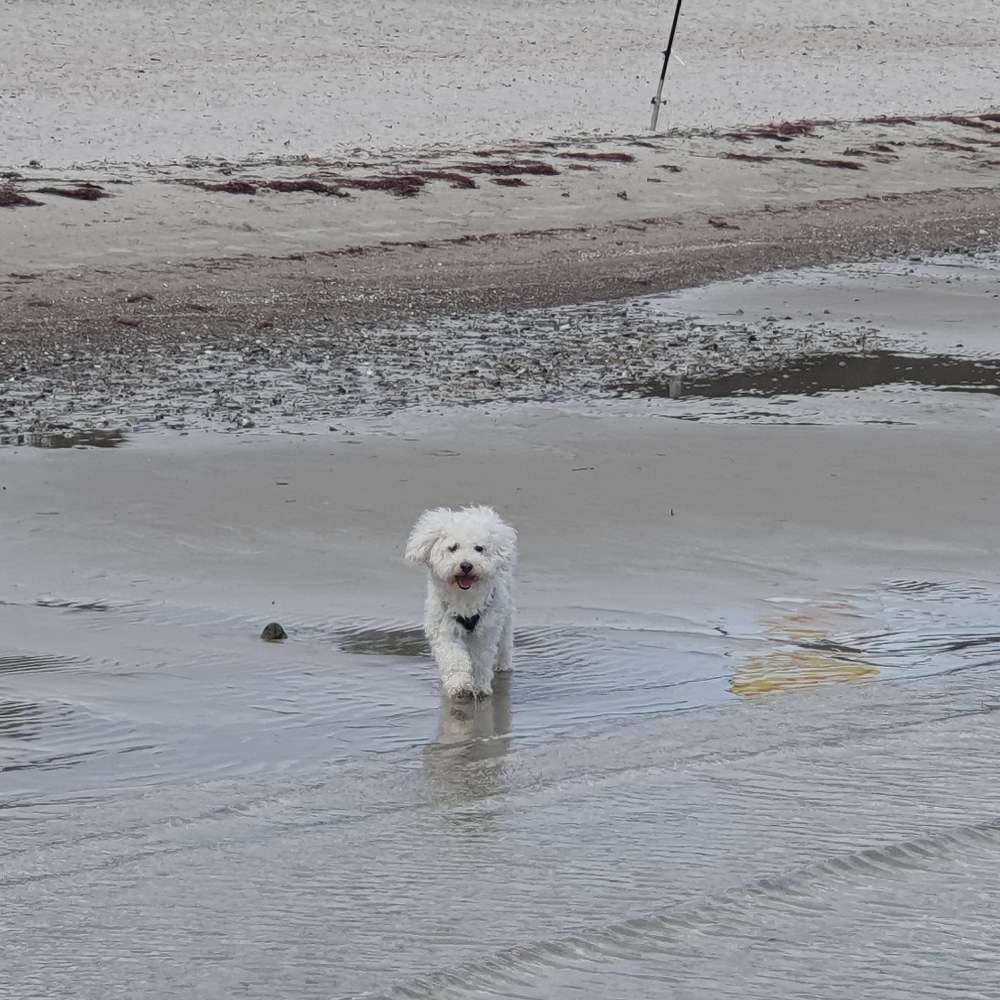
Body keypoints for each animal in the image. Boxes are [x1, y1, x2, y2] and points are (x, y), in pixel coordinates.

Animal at [404, 508, 520, 696]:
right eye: (453, 547)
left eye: (479, 548)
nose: (466, 565)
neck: (464, 596)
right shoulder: (444, 629)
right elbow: (453, 658)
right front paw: (459, 684)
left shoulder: (484, 632)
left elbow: (480, 659)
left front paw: (480, 686)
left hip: (505, 615)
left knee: (504, 642)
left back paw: (503, 665)